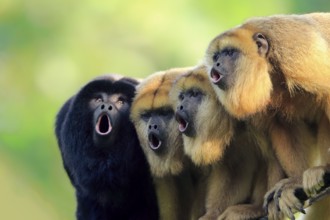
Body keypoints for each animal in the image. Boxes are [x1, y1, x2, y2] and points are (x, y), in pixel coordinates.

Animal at [205, 12, 328, 219]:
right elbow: (283, 125)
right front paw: (296, 181)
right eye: (216, 56)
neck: (268, 64)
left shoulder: (297, 49)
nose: (216, 64)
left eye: (229, 53)